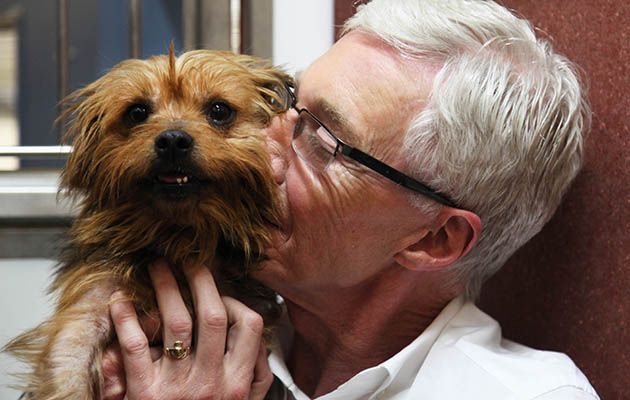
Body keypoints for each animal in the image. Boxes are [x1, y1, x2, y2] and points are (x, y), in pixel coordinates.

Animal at [4, 47, 294, 400]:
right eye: (137, 112)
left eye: (219, 110)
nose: (172, 140)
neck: (178, 237)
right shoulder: (86, 311)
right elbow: (68, 367)